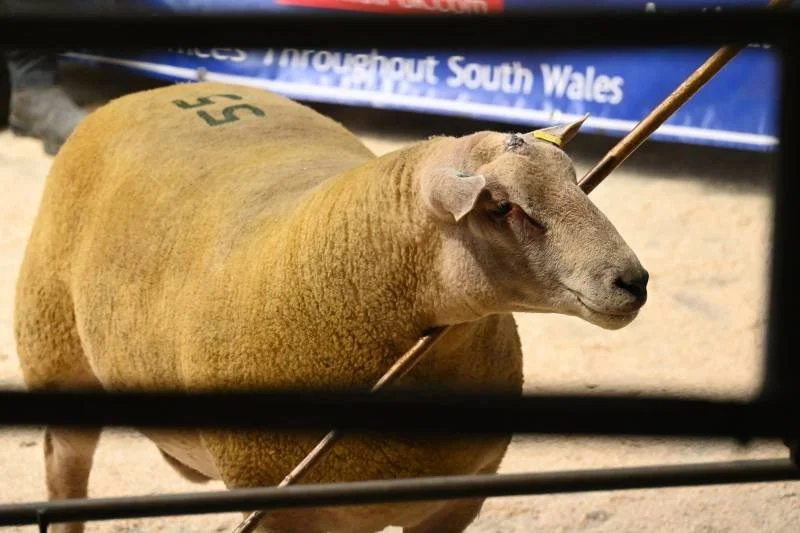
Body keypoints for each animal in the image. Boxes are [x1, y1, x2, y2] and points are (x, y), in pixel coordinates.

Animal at [14, 81, 649, 533]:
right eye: (502, 207)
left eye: (575, 180)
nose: (633, 281)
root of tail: (155, 92)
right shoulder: (280, 512)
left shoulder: (458, 498)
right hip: (56, 354)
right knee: (64, 470)